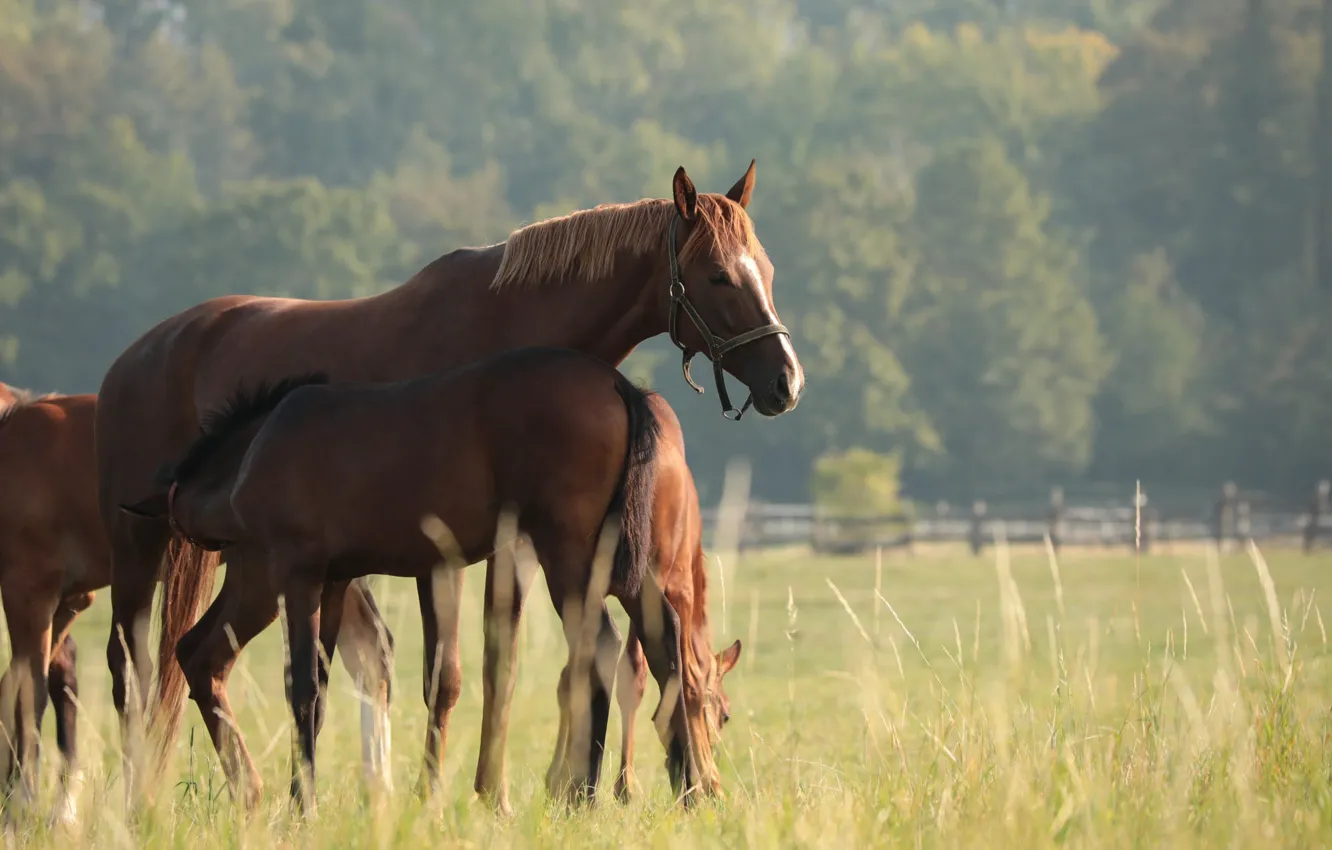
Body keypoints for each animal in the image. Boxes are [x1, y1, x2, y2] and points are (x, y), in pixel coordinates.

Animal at [119, 347, 696, 811]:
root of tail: (617, 384)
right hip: (623, 565)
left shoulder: (293, 573)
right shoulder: (332, 582)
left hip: (570, 557)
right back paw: (686, 788)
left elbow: (301, 686)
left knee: (601, 647)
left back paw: (585, 793)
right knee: (661, 641)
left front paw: (302, 804)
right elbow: (320, 691)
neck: (257, 449)